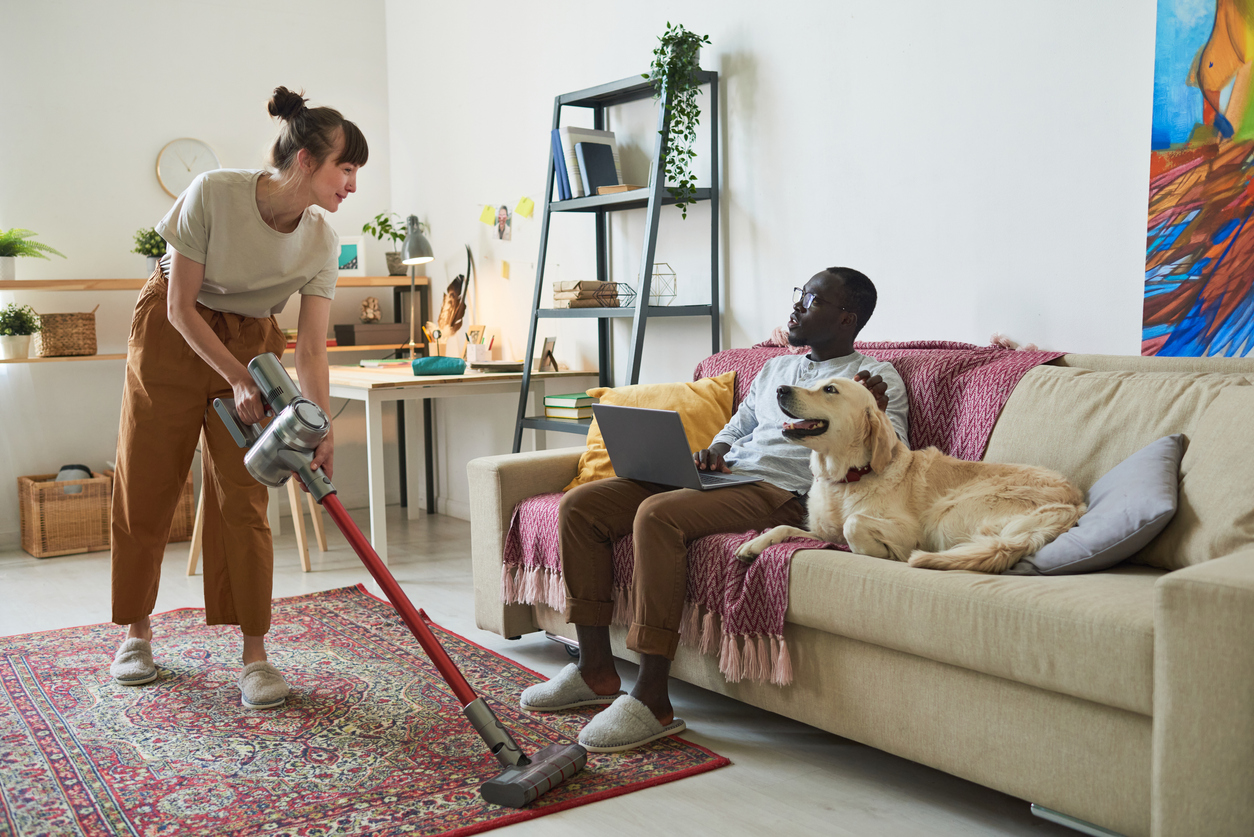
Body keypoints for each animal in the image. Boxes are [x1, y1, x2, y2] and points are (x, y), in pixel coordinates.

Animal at [737, 376, 1083, 572]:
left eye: (830, 390)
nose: (780, 389)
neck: (846, 478)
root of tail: (1075, 502)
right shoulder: (823, 534)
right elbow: (783, 526)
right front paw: (753, 545)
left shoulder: (910, 531)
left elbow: (854, 523)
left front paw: (881, 552)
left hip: (946, 515)